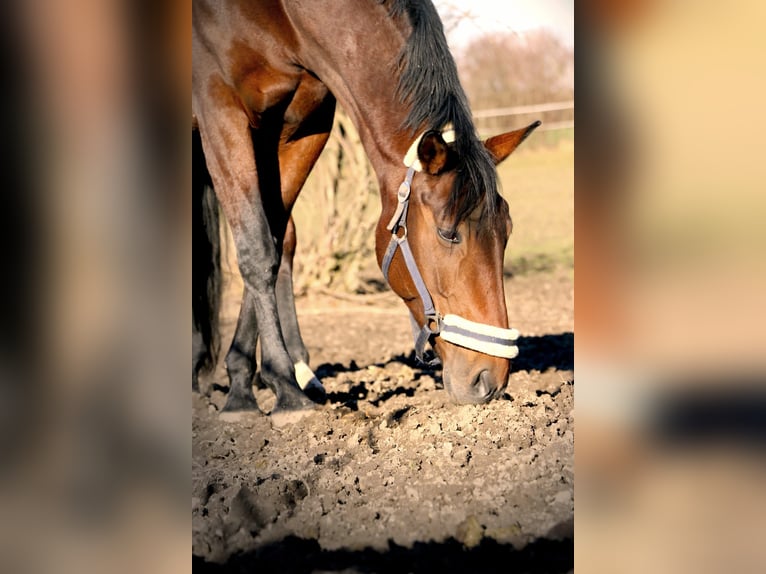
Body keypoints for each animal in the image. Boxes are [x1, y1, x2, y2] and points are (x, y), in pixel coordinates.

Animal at [192, 0, 540, 424]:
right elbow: (256, 249)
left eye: (507, 230)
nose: (490, 379)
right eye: (447, 233)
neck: (282, 16)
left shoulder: (301, 126)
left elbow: (273, 239)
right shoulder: (219, 106)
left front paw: (248, 380)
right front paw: (280, 391)